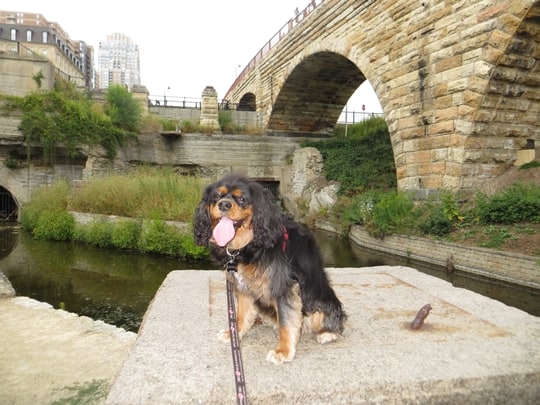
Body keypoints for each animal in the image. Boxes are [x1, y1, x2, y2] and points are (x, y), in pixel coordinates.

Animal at [194, 174, 346, 362]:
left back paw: (327, 333)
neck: (249, 244)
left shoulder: (283, 287)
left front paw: (283, 351)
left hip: (321, 300)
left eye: (242, 199)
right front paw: (234, 334)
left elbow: (286, 322)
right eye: (216, 197)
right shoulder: (242, 286)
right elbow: (240, 314)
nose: (223, 204)